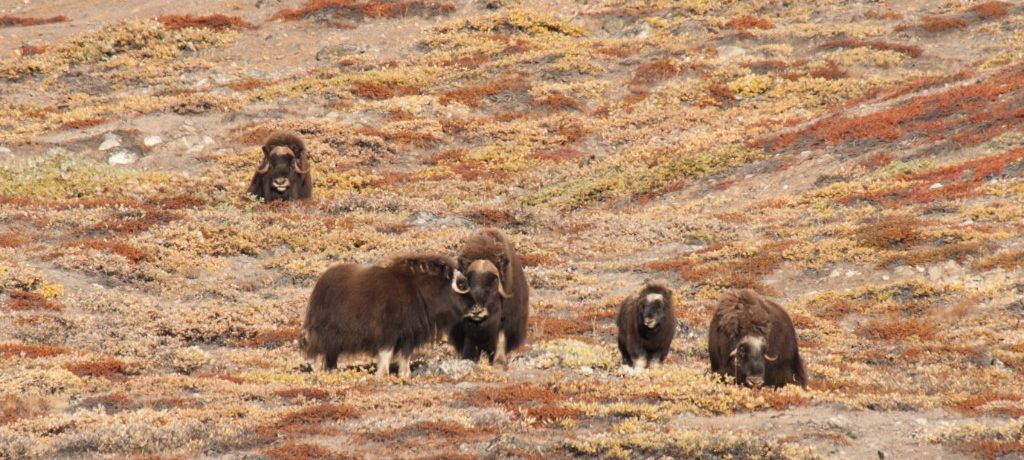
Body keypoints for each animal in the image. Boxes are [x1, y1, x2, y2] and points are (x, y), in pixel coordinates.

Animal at [299, 254, 468, 377]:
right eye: (461, 283)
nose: (473, 307)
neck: (419, 289)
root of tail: (320, 282)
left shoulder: (409, 333)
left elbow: (405, 354)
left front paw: (405, 374)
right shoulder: (389, 331)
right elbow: (386, 352)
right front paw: (382, 374)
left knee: (330, 352)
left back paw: (332, 369)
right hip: (325, 330)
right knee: (318, 347)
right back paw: (318, 369)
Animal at [446, 227, 528, 364]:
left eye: (493, 282)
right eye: (467, 281)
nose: (476, 311)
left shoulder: (505, 320)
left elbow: (501, 338)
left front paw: (500, 363)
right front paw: (468, 358)